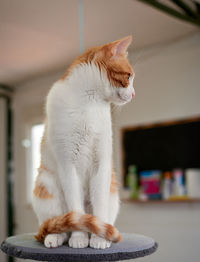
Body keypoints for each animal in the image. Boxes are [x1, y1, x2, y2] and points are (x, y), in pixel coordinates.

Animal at [32, 35, 135, 250]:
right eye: (129, 76)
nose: (134, 94)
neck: (89, 102)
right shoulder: (68, 165)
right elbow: (77, 213)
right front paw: (79, 238)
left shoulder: (101, 164)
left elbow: (99, 211)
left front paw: (99, 238)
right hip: (46, 187)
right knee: (58, 223)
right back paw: (56, 237)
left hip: (113, 194)